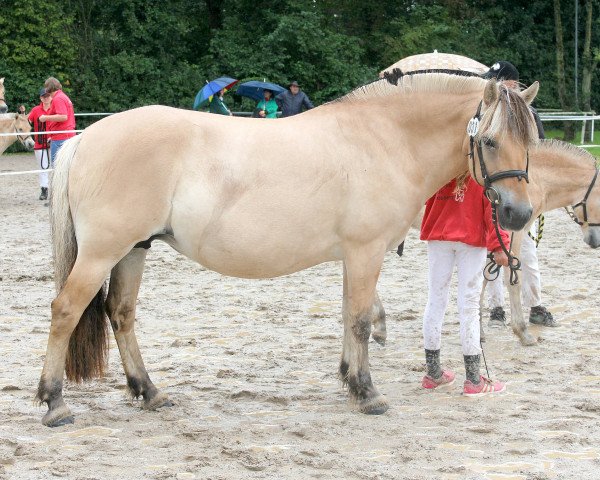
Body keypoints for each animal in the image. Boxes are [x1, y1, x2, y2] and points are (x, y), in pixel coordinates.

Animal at [37, 72, 540, 428]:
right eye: (490, 140)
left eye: (530, 141)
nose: (518, 214)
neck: (385, 139)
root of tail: (85, 138)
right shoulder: (366, 251)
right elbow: (361, 321)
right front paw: (367, 393)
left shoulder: (354, 256)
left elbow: (348, 315)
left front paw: (348, 379)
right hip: (102, 253)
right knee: (66, 310)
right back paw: (55, 403)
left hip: (133, 250)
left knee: (120, 313)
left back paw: (149, 392)